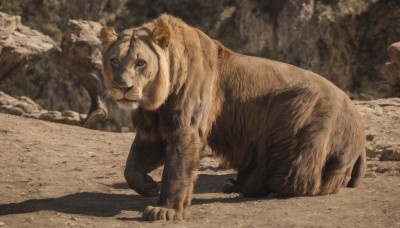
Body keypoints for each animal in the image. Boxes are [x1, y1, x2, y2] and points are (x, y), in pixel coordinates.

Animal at [99, 14, 366, 221]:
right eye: (114, 61)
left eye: (140, 63)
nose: (123, 87)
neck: (156, 99)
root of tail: (359, 126)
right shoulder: (154, 128)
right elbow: (131, 166)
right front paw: (147, 186)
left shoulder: (186, 127)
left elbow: (176, 170)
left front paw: (165, 210)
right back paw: (237, 183)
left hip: (301, 108)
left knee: (307, 180)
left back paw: (265, 186)